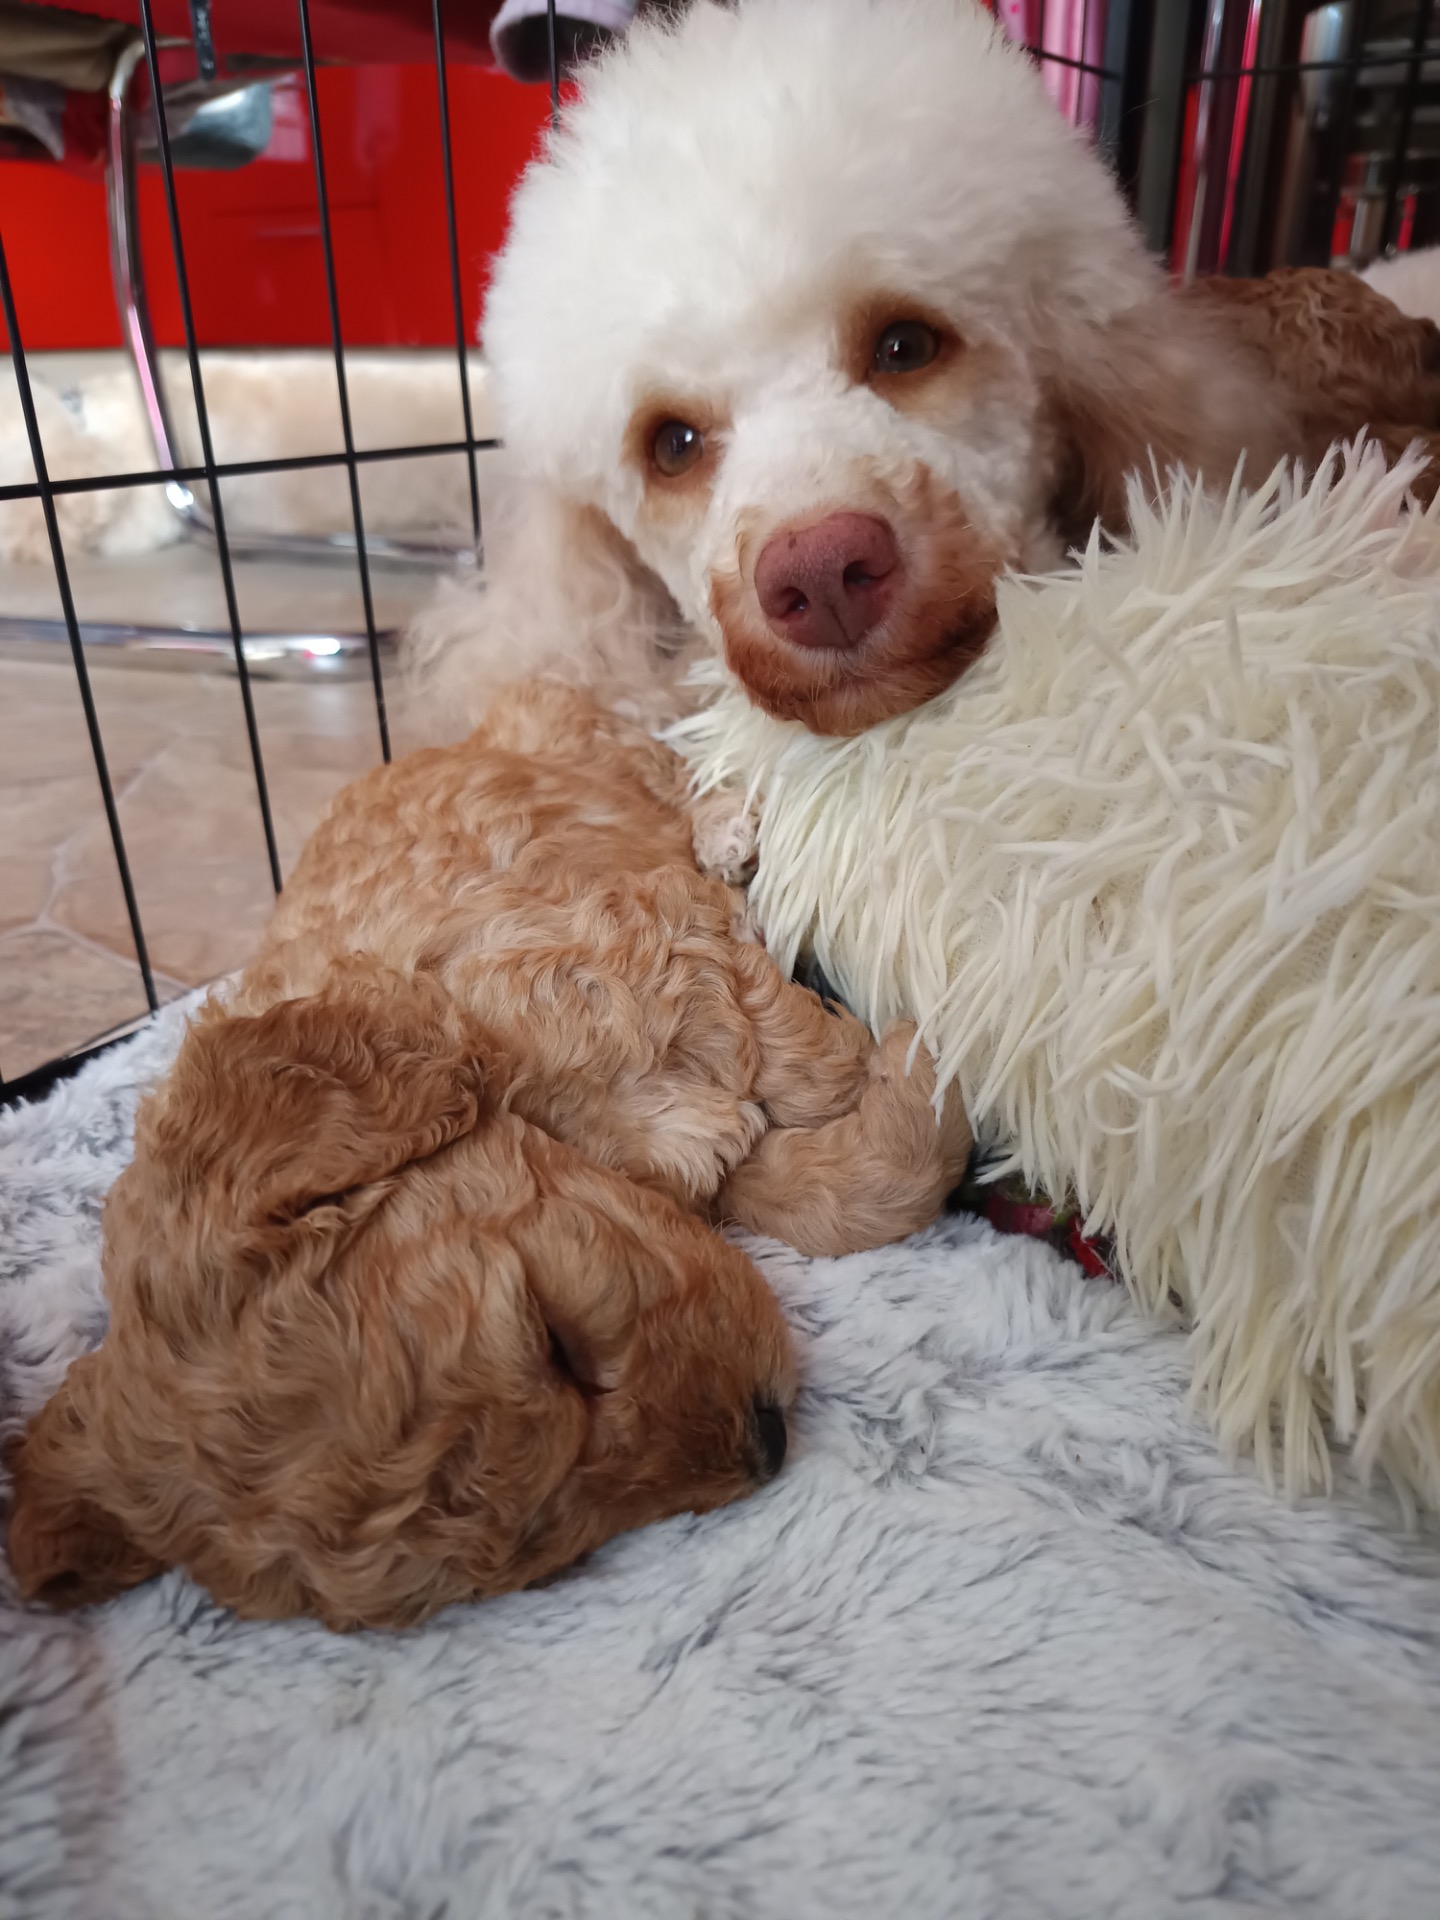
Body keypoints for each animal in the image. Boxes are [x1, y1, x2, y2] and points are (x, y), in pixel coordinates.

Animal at [6, 680, 970, 1631]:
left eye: (553, 1340)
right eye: (542, 1549)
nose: (767, 1441)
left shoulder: (657, 950)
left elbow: (796, 1054)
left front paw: (910, 1056)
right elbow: (801, 1184)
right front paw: (913, 1093)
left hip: (601, 755)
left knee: (672, 769)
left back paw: (727, 829)